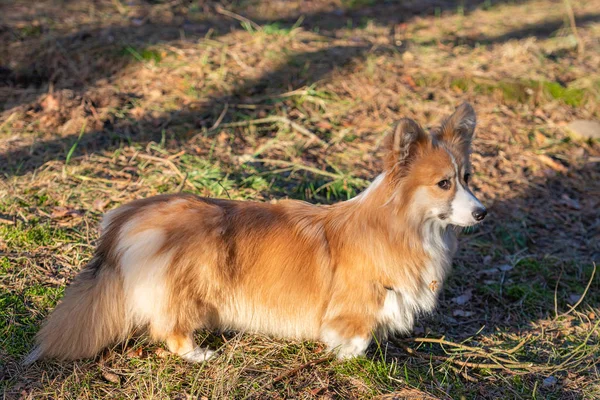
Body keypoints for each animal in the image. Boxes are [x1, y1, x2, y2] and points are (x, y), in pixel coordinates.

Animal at [24, 101, 488, 364]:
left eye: (467, 177)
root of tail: (128, 217)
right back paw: (200, 354)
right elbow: (355, 337)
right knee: (169, 330)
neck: (402, 224)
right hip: (187, 288)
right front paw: (343, 357)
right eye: (443, 184)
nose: (483, 213)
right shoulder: (357, 304)